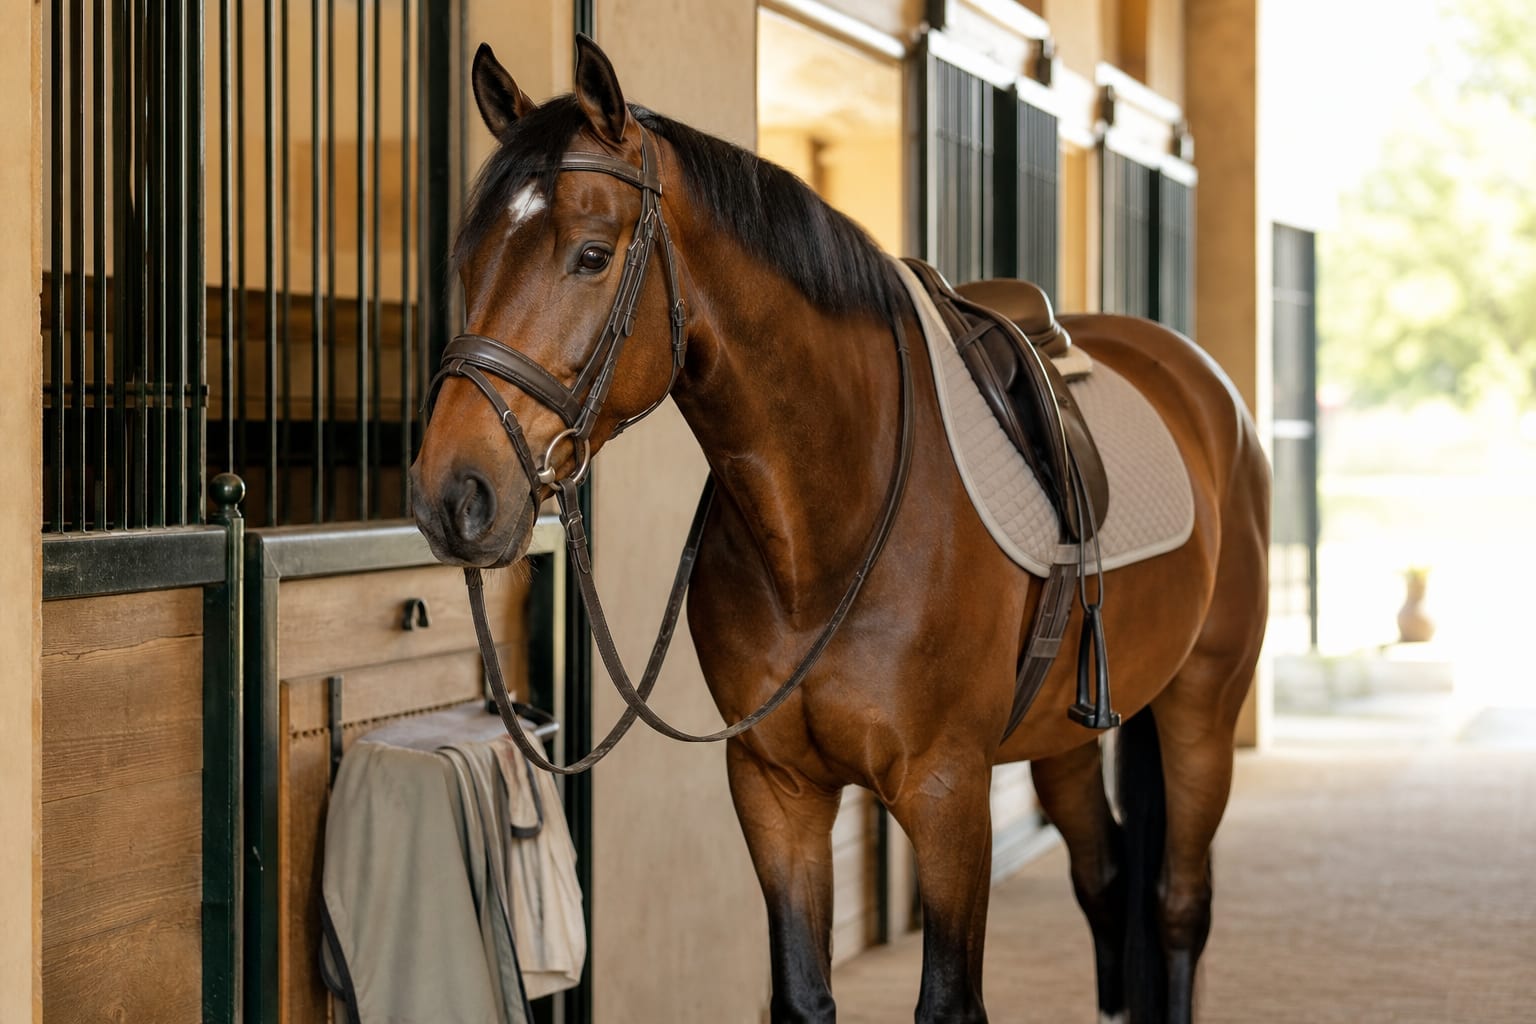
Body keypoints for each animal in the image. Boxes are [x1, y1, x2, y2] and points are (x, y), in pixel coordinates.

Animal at [411, 35, 1269, 1024]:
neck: (825, 536)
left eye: (591, 255)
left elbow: (949, 999)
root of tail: (1204, 388)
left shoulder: (947, 793)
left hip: (1203, 706)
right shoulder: (776, 790)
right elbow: (802, 992)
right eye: (469, 259)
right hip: (1064, 739)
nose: (451, 494)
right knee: (1107, 882)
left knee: (1176, 904)